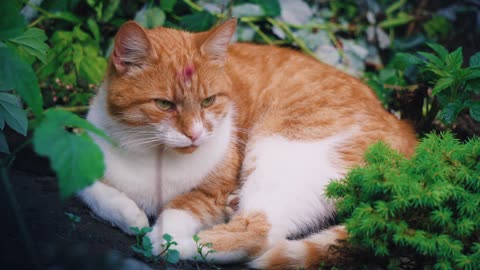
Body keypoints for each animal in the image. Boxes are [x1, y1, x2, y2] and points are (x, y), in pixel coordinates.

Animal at [79, 17, 416, 268]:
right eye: (164, 104)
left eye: (208, 101)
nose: (195, 133)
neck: (156, 156)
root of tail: (407, 132)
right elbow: (92, 190)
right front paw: (131, 215)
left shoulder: (211, 193)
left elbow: (179, 211)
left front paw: (159, 233)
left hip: (280, 147)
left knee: (258, 234)